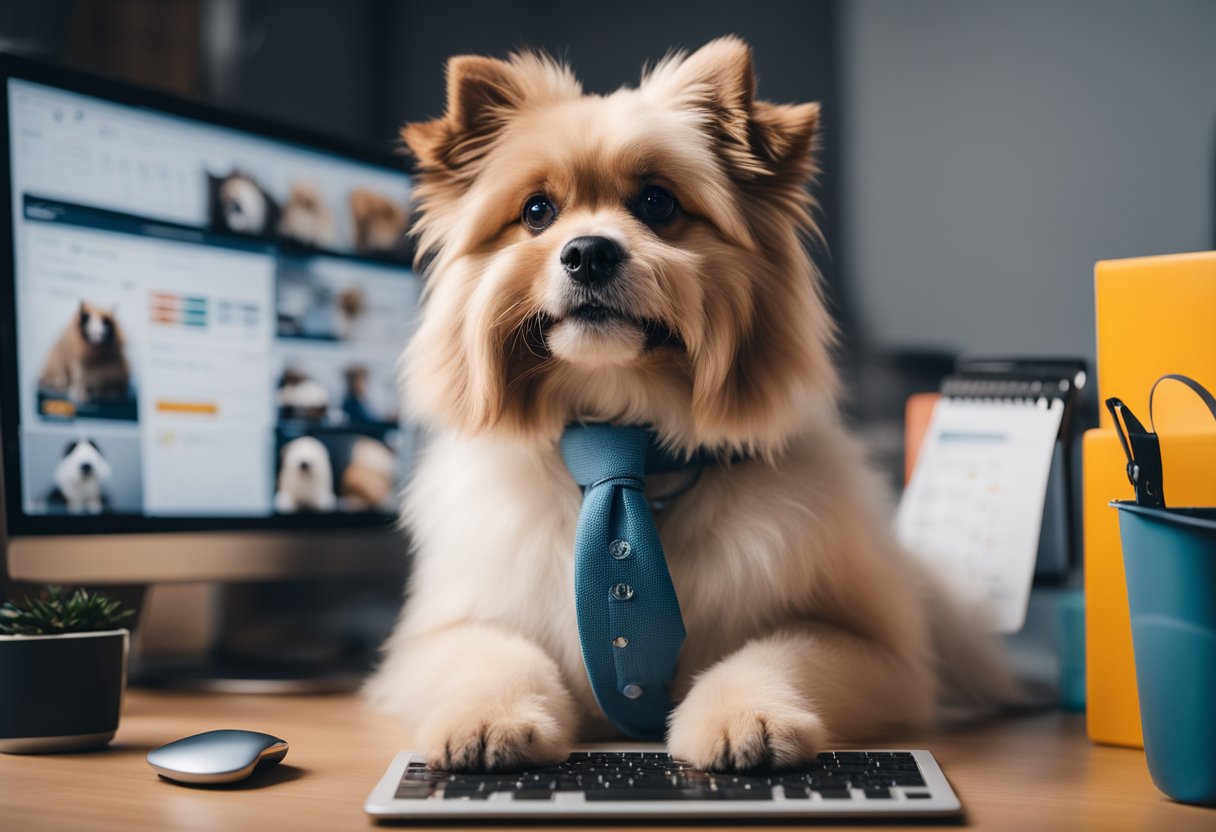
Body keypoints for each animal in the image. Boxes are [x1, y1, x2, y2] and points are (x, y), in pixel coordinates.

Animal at [364, 37, 1011, 768]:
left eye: (656, 203)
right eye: (536, 212)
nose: (588, 253)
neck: (624, 431)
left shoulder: (878, 652)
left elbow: (775, 653)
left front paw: (747, 716)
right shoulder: (437, 636)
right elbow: (495, 652)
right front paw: (490, 717)